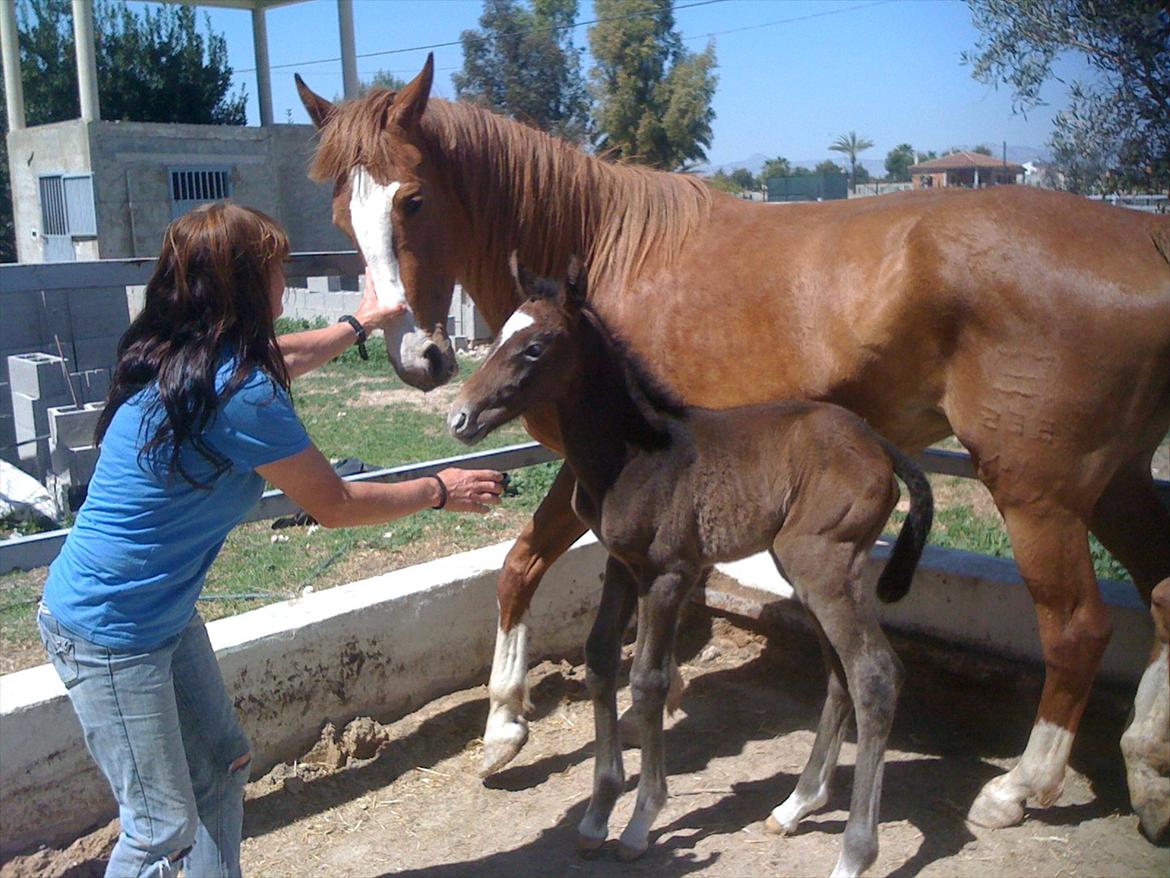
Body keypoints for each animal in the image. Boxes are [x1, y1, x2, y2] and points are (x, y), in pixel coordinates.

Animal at [446, 257, 931, 875]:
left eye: (534, 348)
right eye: (499, 335)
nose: (460, 418)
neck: (631, 455)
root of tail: (879, 445)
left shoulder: (671, 573)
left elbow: (648, 681)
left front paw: (640, 822)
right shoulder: (621, 566)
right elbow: (599, 661)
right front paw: (597, 814)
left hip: (822, 563)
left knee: (874, 673)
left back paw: (853, 853)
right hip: (813, 571)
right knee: (839, 675)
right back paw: (795, 806)